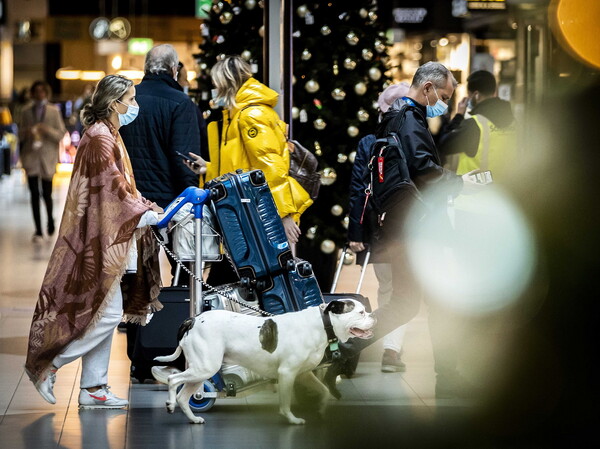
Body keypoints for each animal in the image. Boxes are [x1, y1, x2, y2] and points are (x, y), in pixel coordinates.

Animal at [156, 298, 376, 424]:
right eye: (361, 312)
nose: (373, 317)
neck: (323, 324)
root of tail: (192, 319)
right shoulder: (287, 373)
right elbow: (285, 402)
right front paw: (292, 420)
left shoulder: (303, 374)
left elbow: (323, 390)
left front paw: (322, 409)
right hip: (204, 368)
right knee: (173, 380)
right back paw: (170, 404)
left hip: (201, 372)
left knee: (184, 396)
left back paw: (193, 419)